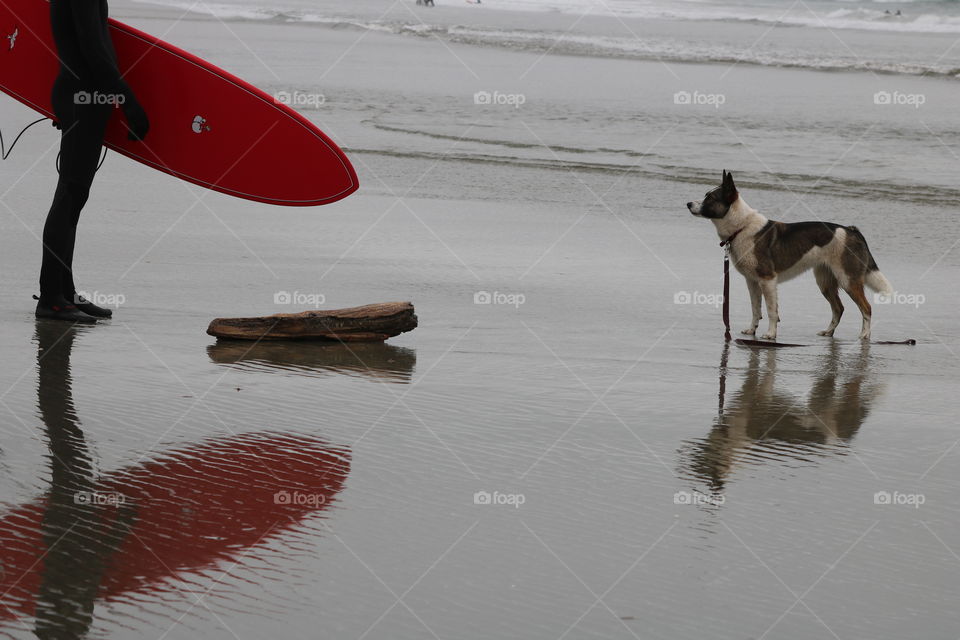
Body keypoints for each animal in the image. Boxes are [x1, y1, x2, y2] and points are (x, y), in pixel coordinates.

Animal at [688, 170, 888, 340]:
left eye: (710, 198)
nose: (688, 204)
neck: (742, 227)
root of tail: (852, 231)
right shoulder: (752, 281)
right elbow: (755, 309)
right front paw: (752, 330)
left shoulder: (767, 280)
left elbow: (771, 311)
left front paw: (770, 334)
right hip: (825, 282)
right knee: (838, 308)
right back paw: (828, 332)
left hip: (848, 281)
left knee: (866, 308)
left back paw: (865, 335)